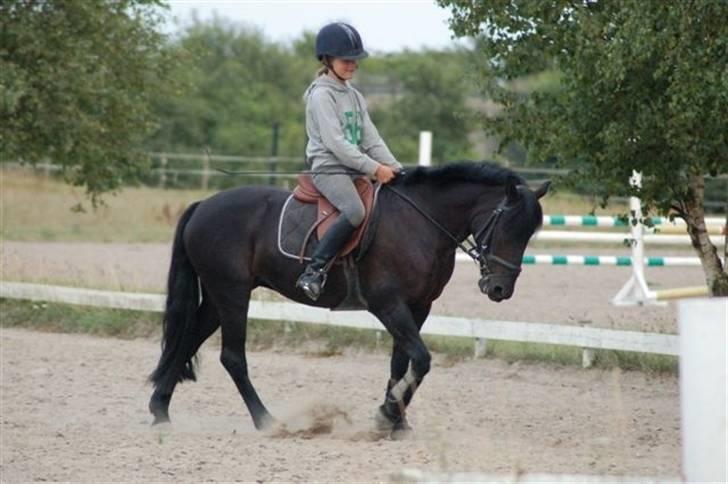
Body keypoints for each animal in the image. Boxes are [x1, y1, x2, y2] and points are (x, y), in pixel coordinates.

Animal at [149, 163, 544, 432]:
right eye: (507, 226)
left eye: (529, 233)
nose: (500, 290)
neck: (421, 223)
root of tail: (203, 205)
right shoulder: (389, 305)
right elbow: (421, 359)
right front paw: (387, 415)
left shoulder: (418, 307)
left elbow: (401, 363)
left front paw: (395, 422)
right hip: (232, 294)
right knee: (232, 357)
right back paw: (267, 421)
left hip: (219, 296)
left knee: (186, 340)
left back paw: (160, 412)